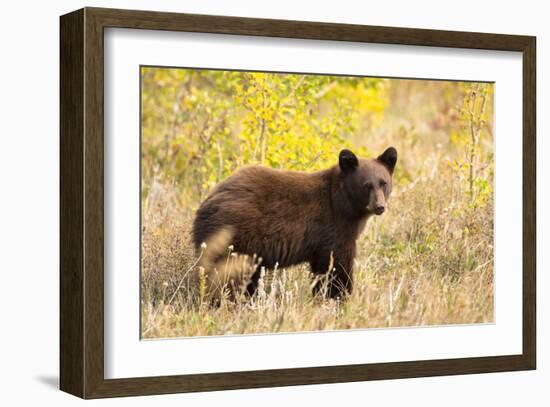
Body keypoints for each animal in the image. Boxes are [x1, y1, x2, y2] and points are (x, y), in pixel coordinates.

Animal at [192, 147, 398, 300]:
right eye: (366, 185)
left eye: (384, 183)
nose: (380, 206)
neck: (343, 204)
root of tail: (205, 205)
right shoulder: (333, 228)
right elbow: (337, 266)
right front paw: (339, 297)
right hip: (235, 238)